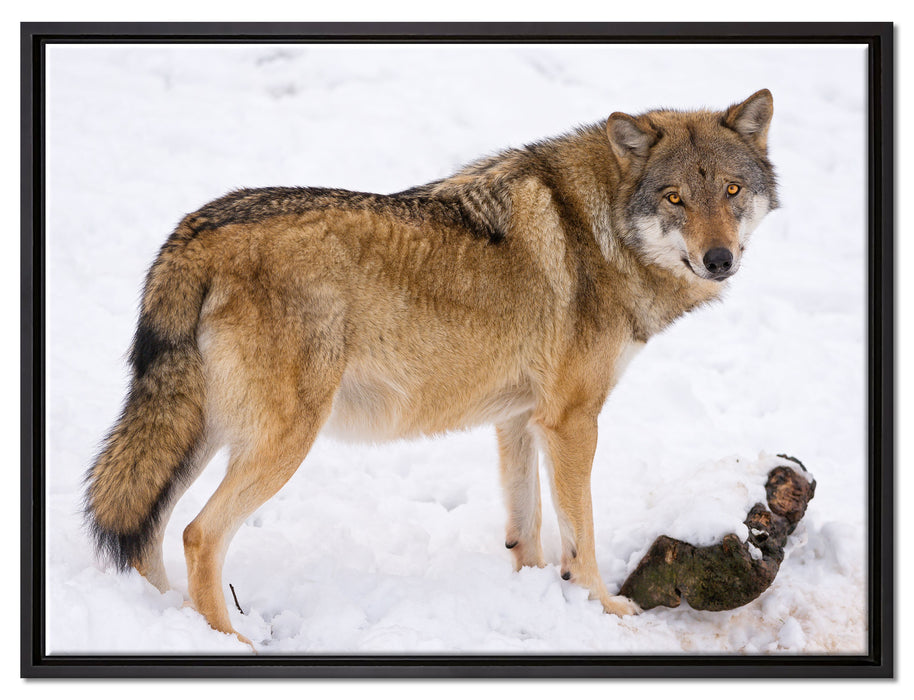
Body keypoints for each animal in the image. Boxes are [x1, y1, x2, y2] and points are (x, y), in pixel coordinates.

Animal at [85, 90, 778, 646]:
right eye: (675, 198)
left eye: (732, 192)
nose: (719, 259)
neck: (600, 226)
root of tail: (192, 232)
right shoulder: (571, 422)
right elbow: (580, 537)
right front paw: (603, 611)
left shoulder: (520, 419)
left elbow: (527, 529)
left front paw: (537, 602)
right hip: (280, 440)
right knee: (198, 534)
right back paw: (232, 643)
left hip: (203, 434)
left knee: (149, 532)